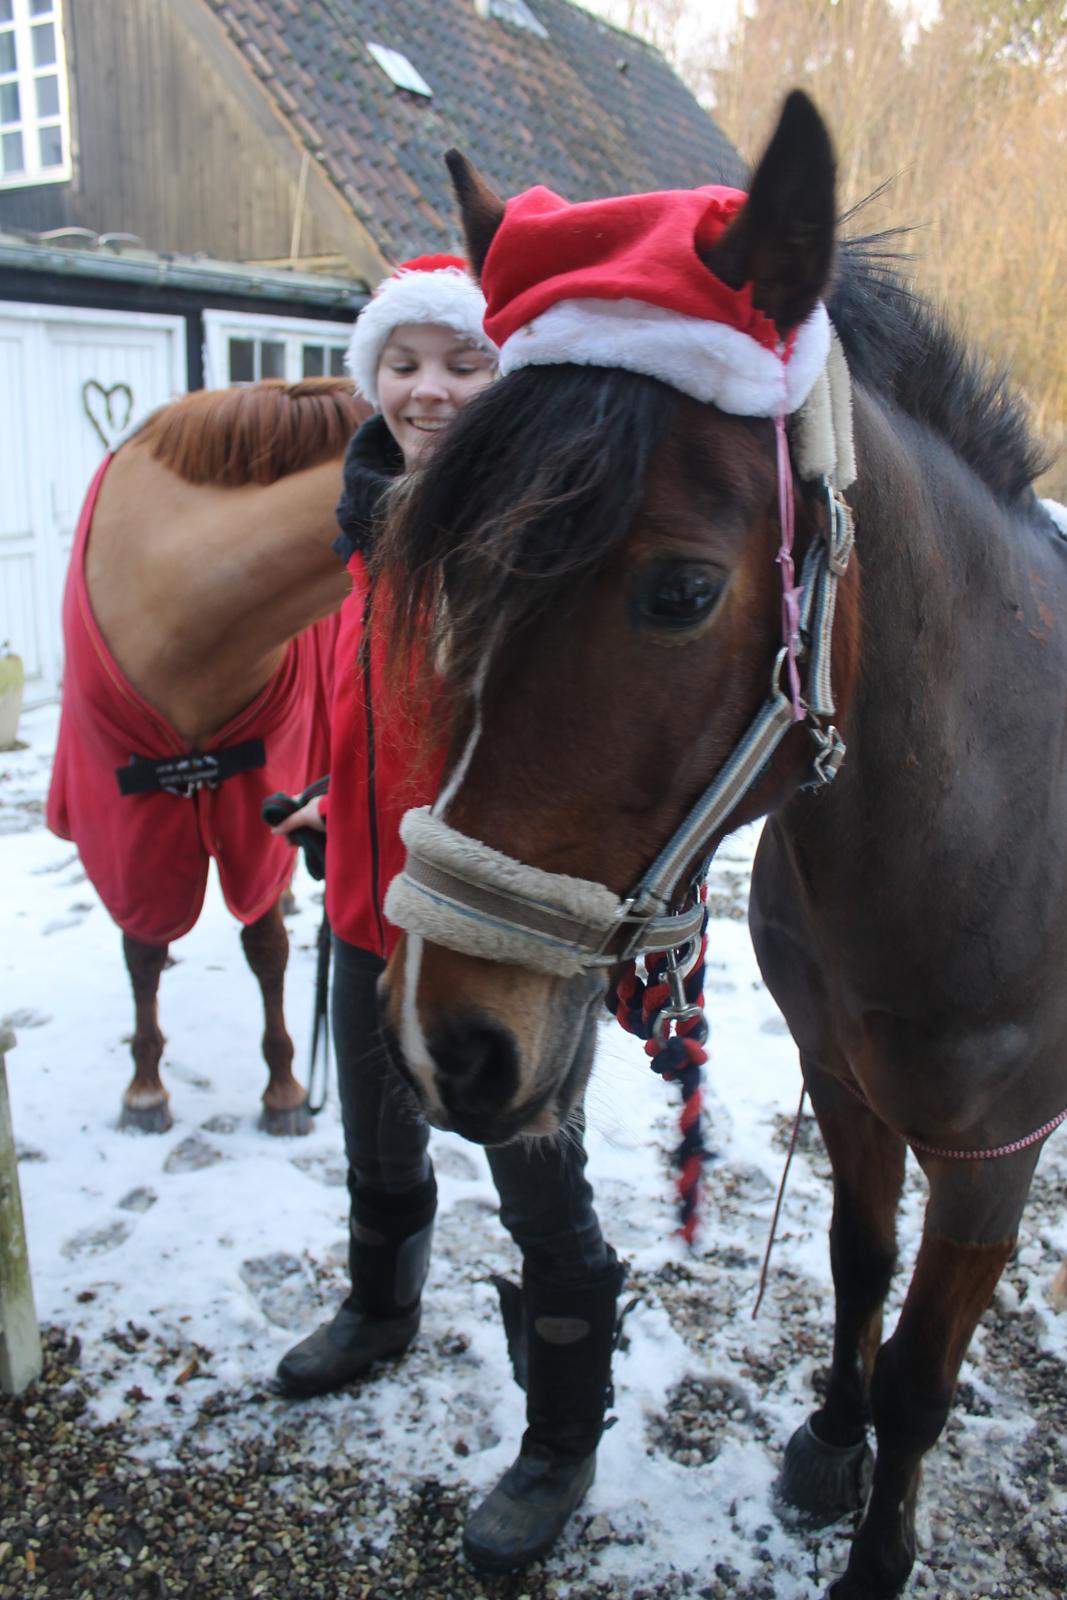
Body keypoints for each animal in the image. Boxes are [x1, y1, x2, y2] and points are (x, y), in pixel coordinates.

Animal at [46, 382, 367, 1139]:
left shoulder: (255, 806)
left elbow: (266, 945)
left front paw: (283, 1089)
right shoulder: (126, 821)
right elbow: (141, 946)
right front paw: (145, 1089)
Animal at [371, 96, 1062, 1600]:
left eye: (681, 592)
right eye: (458, 571)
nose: (450, 1043)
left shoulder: (990, 1151)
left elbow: (922, 1373)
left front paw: (875, 1552)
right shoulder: (843, 1082)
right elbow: (854, 1263)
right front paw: (824, 1443)